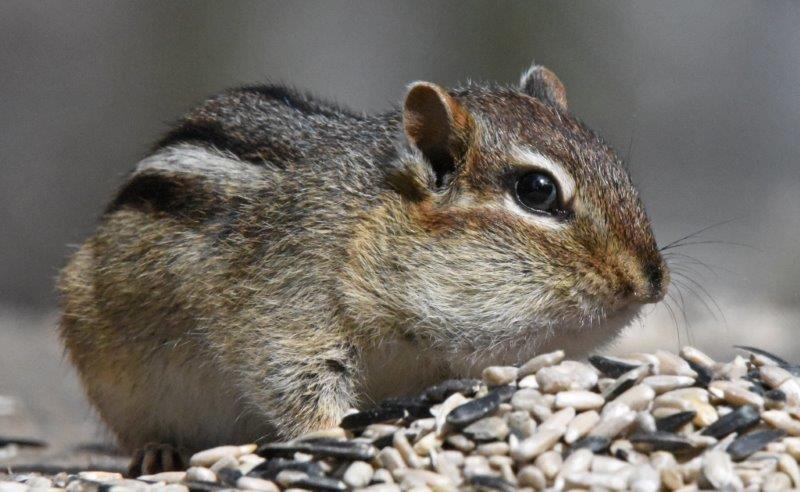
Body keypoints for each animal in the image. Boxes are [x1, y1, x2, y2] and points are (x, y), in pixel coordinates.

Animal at [58, 64, 668, 474]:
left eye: (616, 167)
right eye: (537, 190)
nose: (652, 281)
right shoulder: (287, 311)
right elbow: (293, 382)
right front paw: (336, 434)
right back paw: (159, 450)